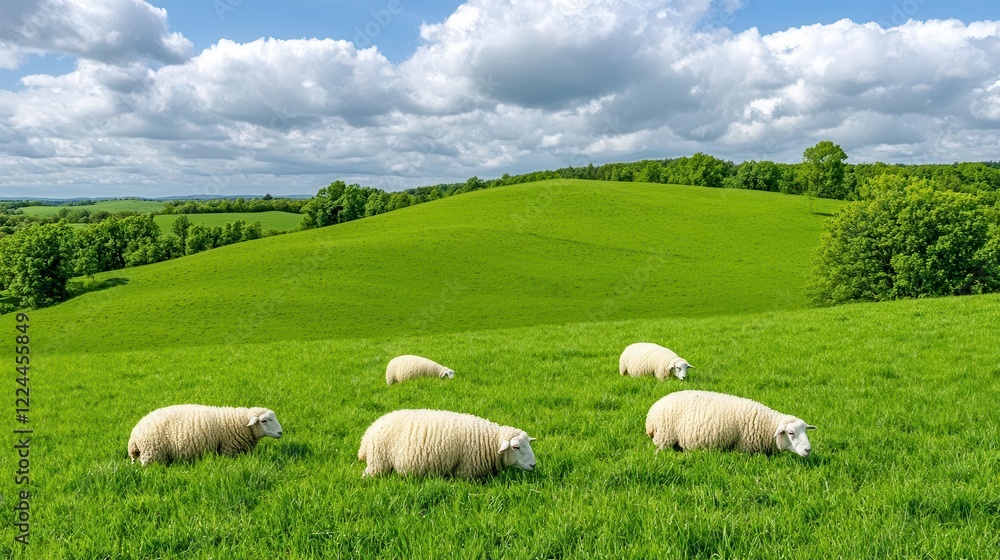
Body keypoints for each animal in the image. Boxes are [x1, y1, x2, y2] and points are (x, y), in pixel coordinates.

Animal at [127, 404, 283, 466]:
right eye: (264, 420)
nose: (280, 432)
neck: (239, 422)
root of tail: (134, 434)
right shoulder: (228, 450)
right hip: (152, 454)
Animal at [645, 390, 815, 457]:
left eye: (806, 431)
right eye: (791, 433)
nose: (808, 450)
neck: (767, 426)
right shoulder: (745, 448)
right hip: (664, 437)